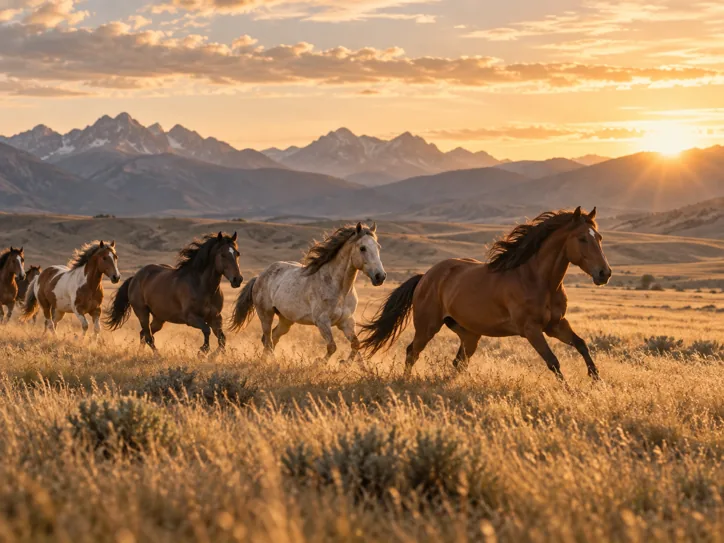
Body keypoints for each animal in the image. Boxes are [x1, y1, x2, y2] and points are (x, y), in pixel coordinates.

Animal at [105, 232, 243, 354]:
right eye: (223, 255)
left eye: (237, 254)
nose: (238, 279)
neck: (202, 287)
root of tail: (135, 277)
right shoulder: (191, 318)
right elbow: (206, 330)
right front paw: (203, 351)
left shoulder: (215, 318)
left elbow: (222, 339)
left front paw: (213, 356)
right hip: (142, 313)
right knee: (148, 337)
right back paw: (157, 356)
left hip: (159, 318)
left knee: (144, 334)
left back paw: (140, 354)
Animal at [230, 222, 386, 363]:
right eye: (362, 248)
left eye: (378, 247)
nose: (380, 276)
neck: (340, 289)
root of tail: (259, 277)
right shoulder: (322, 322)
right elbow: (332, 347)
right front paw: (318, 363)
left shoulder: (346, 322)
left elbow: (356, 344)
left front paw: (346, 363)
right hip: (266, 315)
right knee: (268, 339)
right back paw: (272, 362)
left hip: (286, 320)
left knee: (272, 338)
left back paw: (265, 360)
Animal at [360, 207, 612, 381]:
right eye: (582, 238)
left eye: (599, 238)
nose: (604, 273)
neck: (537, 280)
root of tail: (425, 277)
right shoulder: (531, 330)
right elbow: (553, 362)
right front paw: (570, 391)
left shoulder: (556, 325)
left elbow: (581, 344)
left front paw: (597, 380)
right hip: (427, 326)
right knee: (412, 352)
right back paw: (406, 380)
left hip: (470, 334)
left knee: (458, 362)